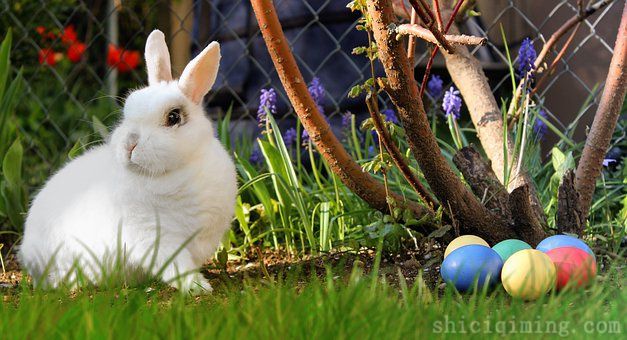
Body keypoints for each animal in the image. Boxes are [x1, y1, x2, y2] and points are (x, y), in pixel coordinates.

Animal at [18, 29, 238, 294]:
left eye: (174, 117)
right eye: (127, 111)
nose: (129, 144)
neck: (177, 171)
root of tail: (27, 255)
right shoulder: (155, 238)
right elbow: (177, 266)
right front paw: (198, 287)